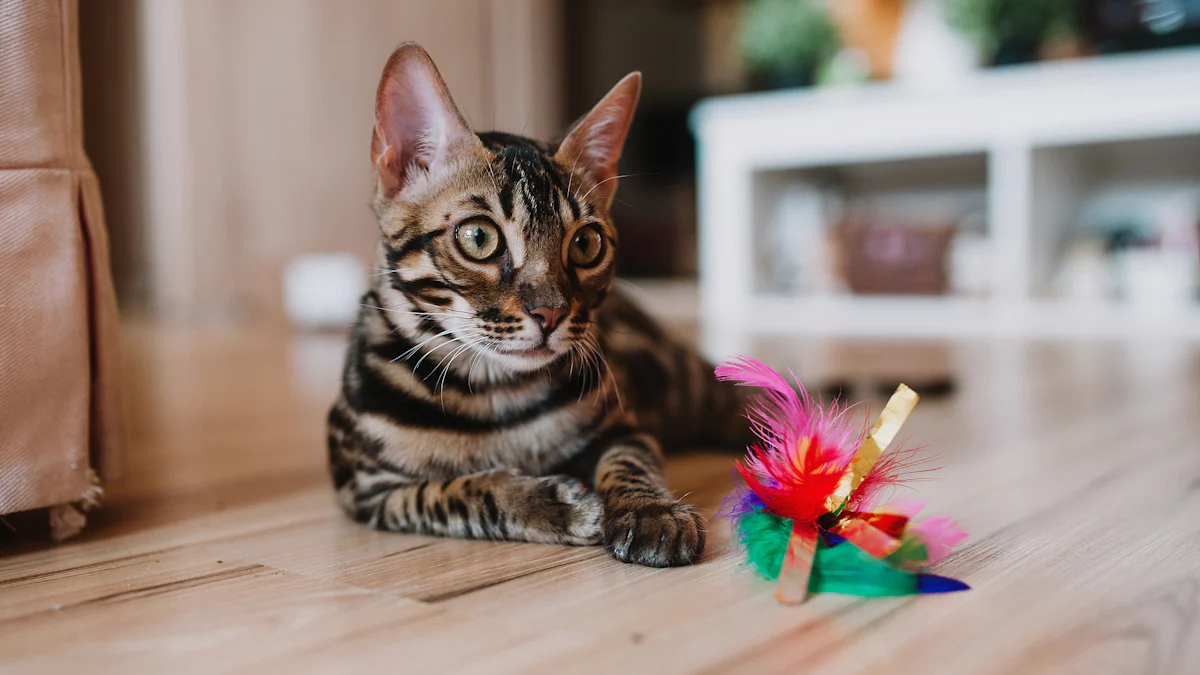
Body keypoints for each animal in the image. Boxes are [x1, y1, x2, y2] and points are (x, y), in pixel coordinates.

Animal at [324, 44, 748, 564]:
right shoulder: (369, 489)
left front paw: (650, 510)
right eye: (478, 237)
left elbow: (630, 462)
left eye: (586, 244)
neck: (494, 391)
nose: (551, 313)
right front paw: (550, 504)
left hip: (680, 383)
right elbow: (458, 491)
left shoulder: (624, 429)